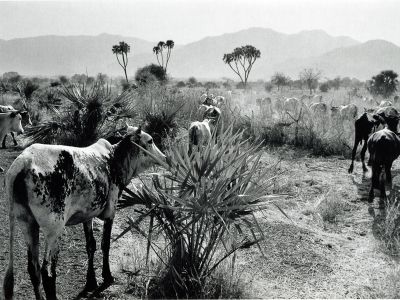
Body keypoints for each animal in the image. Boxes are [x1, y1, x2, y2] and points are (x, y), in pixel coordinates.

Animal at [3, 125, 166, 300]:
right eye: (150, 141)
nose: (164, 157)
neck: (115, 159)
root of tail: (23, 161)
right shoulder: (110, 211)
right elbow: (105, 244)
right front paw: (107, 276)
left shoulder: (88, 215)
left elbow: (91, 246)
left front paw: (91, 282)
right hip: (54, 228)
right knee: (47, 272)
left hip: (27, 223)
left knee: (33, 269)